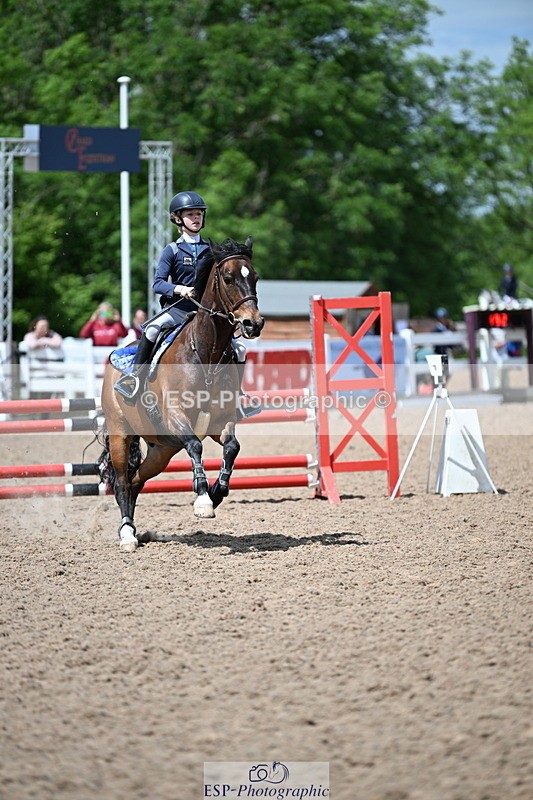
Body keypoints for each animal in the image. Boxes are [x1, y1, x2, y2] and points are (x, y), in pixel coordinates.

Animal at [99, 236, 264, 552]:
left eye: (255, 277)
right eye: (227, 278)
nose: (253, 324)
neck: (205, 351)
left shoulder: (219, 421)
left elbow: (232, 447)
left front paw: (217, 492)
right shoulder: (176, 415)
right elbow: (196, 446)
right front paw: (203, 500)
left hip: (162, 450)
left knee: (136, 480)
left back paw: (135, 530)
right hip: (120, 434)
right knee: (123, 481)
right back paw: (127, 535)